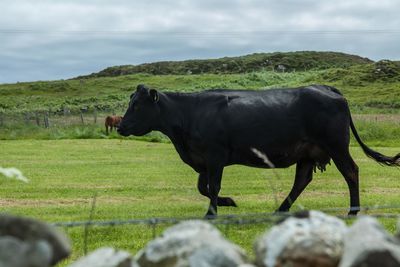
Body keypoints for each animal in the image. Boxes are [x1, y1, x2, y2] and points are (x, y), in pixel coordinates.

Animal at [119, 85, 400, 219]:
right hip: (307, 153)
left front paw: (212, 213)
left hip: (336, 146)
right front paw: (229, 202)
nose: (120, 126)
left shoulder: (215, 155)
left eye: (137, 105)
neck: (189, 114)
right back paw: (280, 210)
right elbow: (203, 187)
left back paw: (353, 211)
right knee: (302, 180)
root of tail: (326, 88)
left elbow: (213, 187)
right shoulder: (204, 159)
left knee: (351, 172)